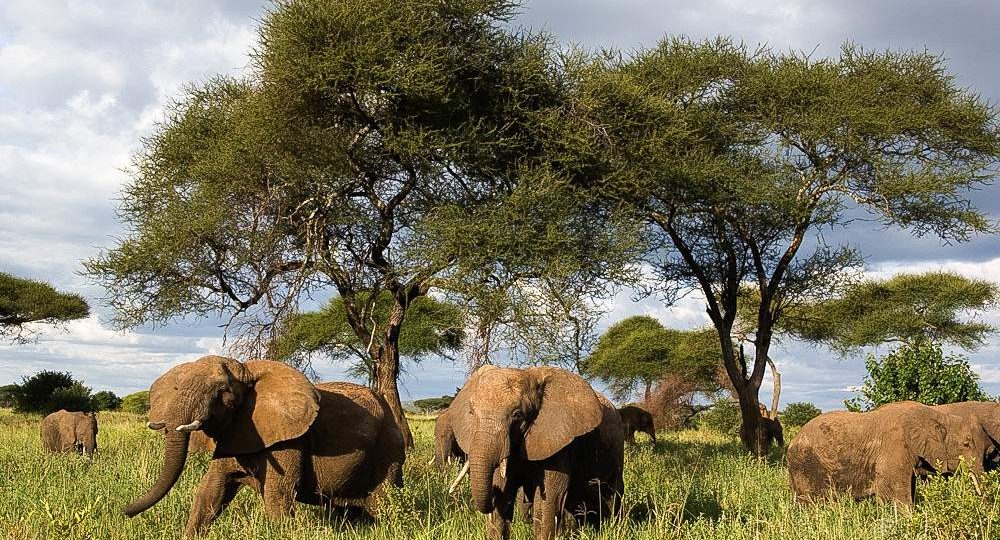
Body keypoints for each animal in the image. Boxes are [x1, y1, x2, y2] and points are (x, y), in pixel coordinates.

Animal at [123, 355, 405, 537]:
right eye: (176, 387)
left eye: (223, 391)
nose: (125, 511)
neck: (247, 370)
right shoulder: (235, 432)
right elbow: (211, 490)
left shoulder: (290, 440)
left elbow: (277, 495)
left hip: (388, 450)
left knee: (384, 503)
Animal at [447, 365, 624, 540]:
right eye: (471, 412)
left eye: (517, 415)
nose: (493, 492)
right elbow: (503, 501)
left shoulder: (560, 443)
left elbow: (548, 502)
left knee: (612, 496)